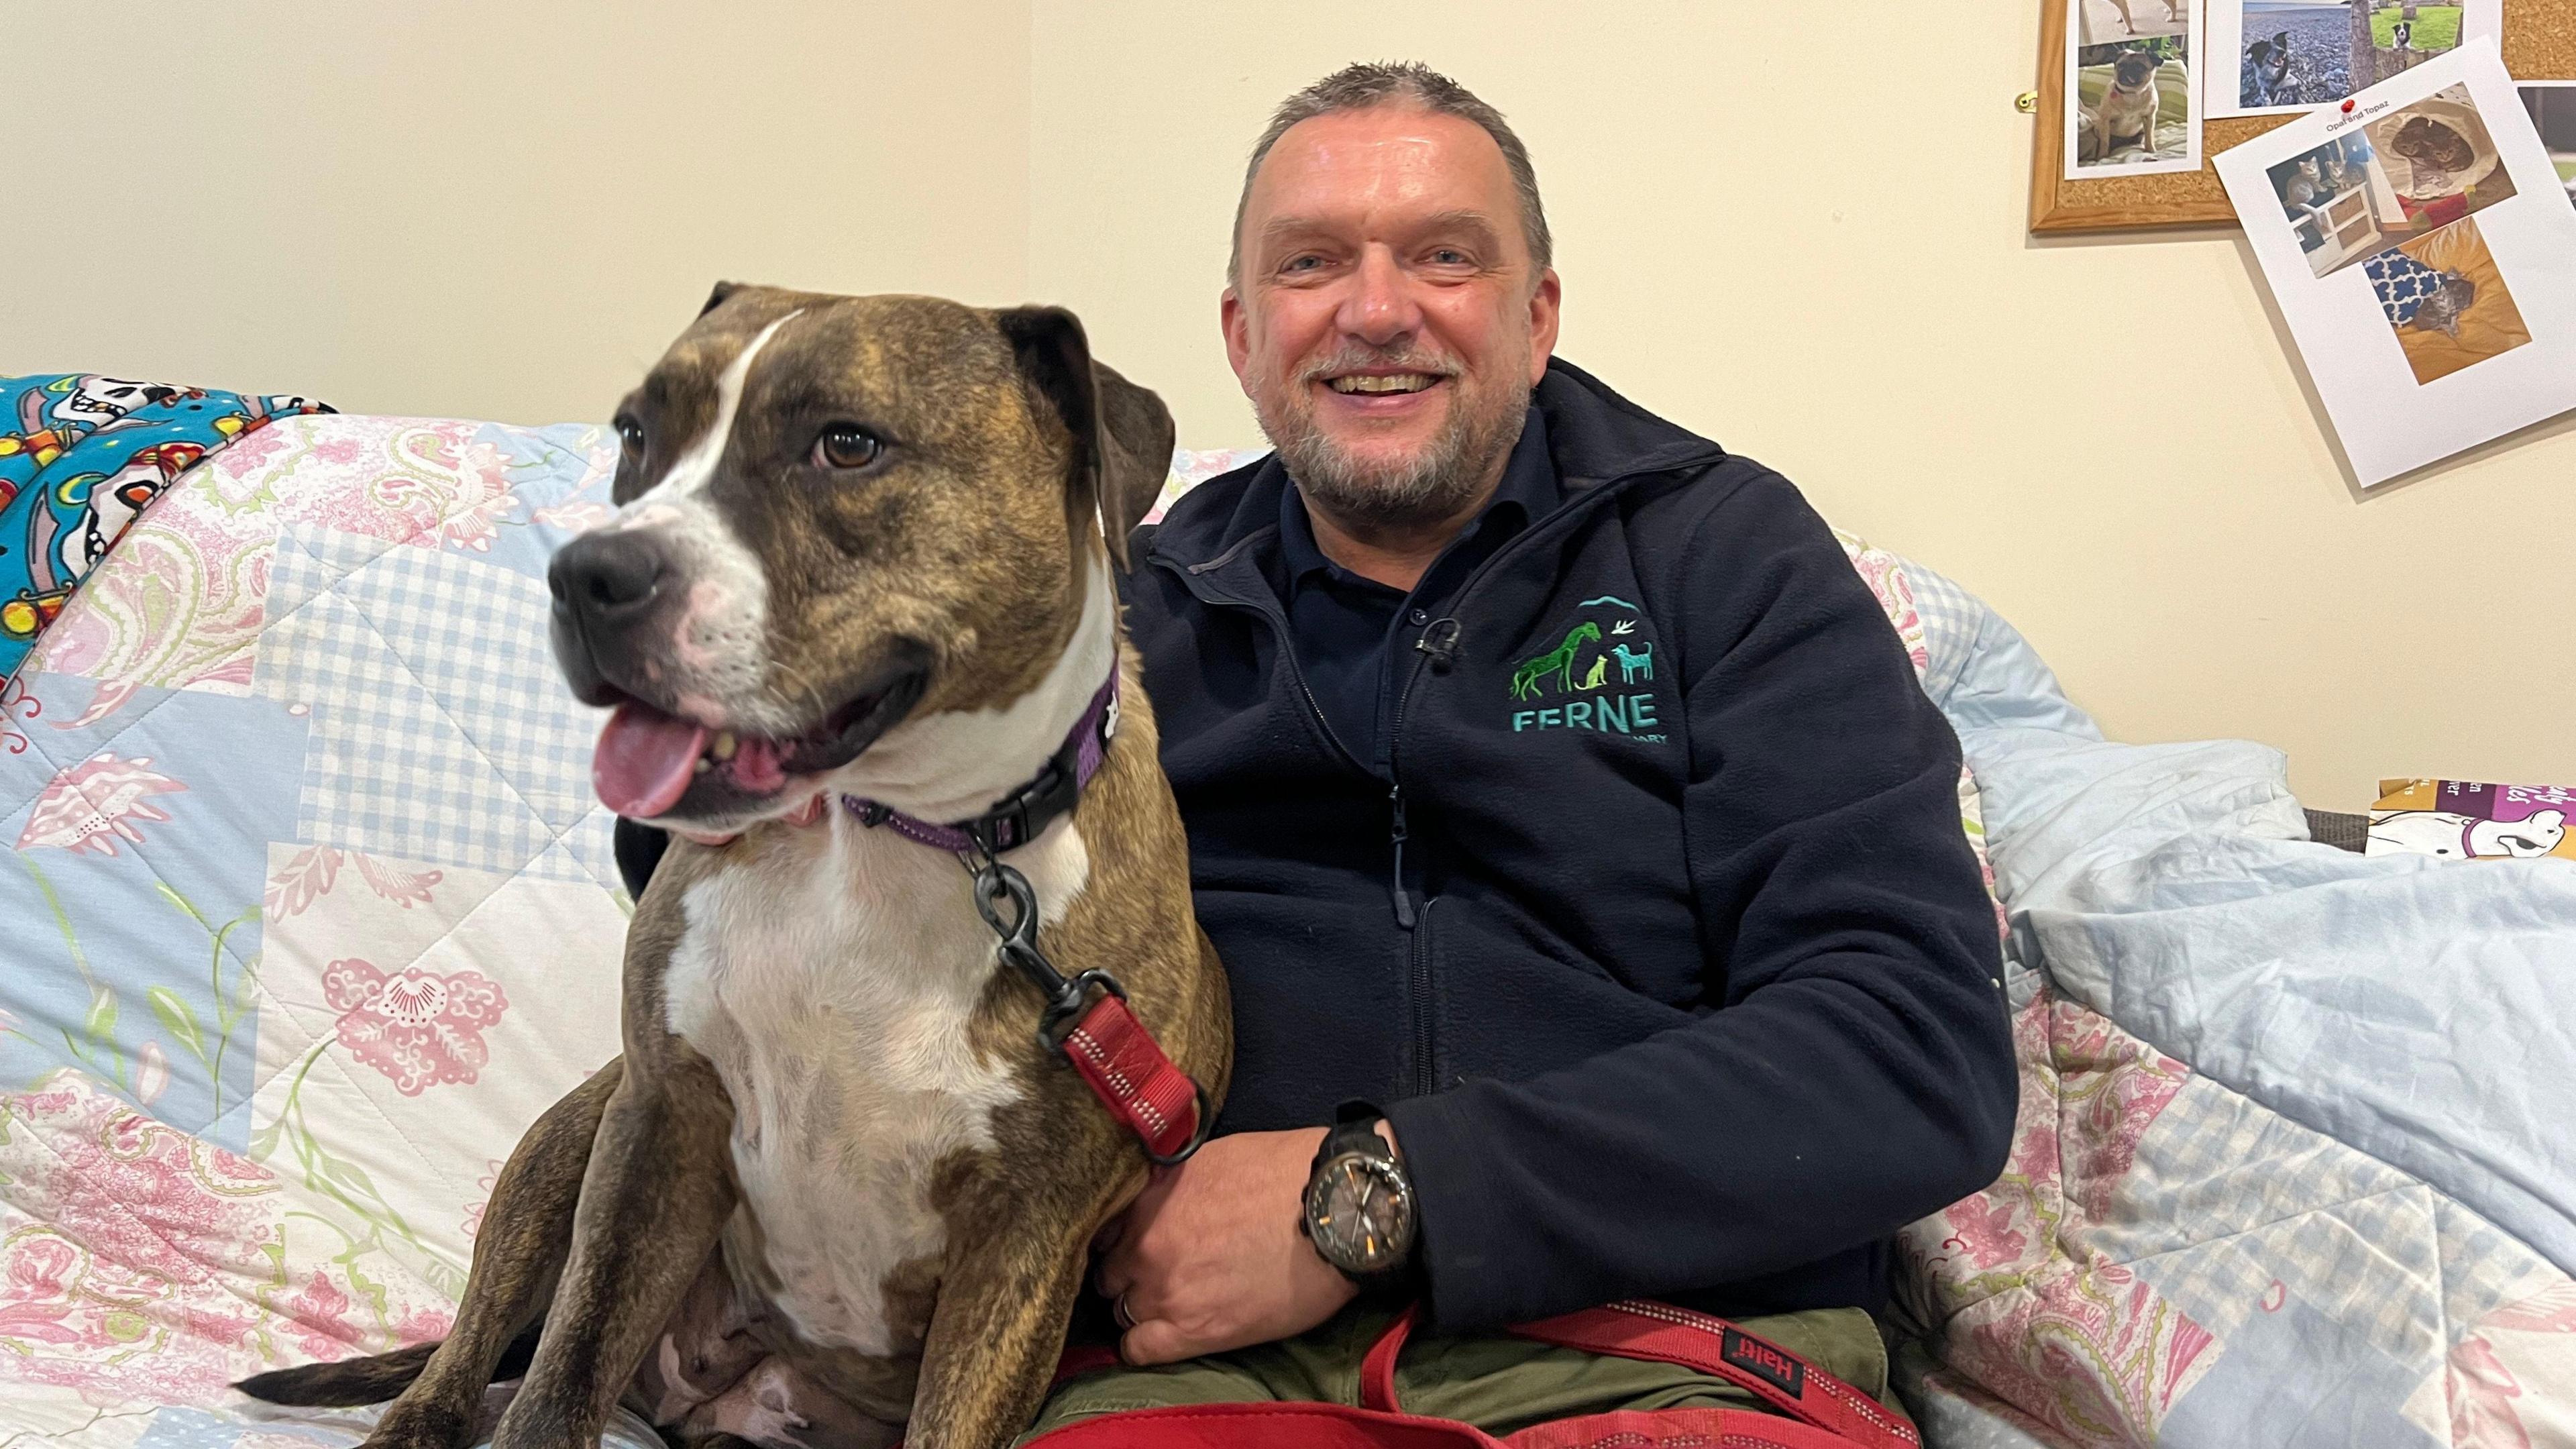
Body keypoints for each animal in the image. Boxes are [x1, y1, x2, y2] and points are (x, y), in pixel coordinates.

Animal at [243, 284, 1236, 1444]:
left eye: (847, 444)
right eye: (637, 434)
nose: (587, 574)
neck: (886, 838)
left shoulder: (1025, 1244)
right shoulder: (658, 1124)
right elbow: (556, 1383)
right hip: (572, 1137)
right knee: (480, 1343)